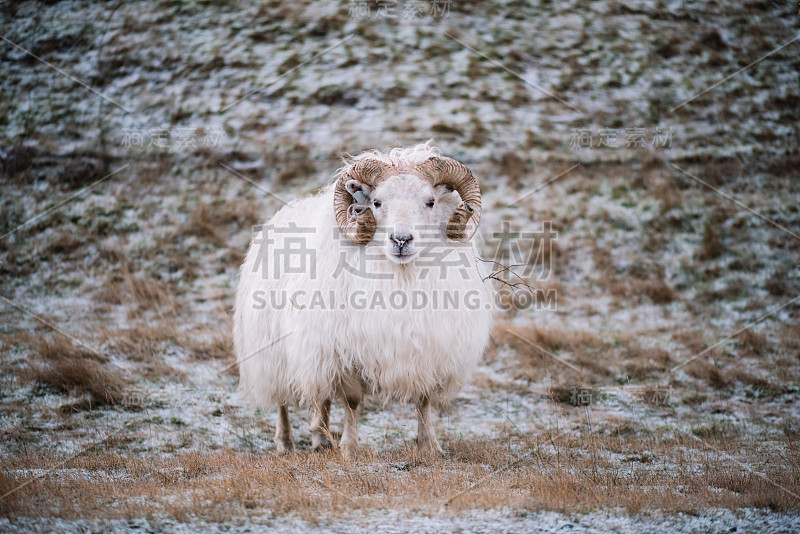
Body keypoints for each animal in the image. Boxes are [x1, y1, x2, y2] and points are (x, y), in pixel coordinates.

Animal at [233, 141, 494, 456]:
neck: (401, 278)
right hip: (275, 350)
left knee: (322, 398)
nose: (401, 240)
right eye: (376, 203)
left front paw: (429, 446)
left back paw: (321, 439)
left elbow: (424, 401)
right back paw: (285, 442)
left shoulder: (427, 350)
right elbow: (352, 402)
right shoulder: (345, 352)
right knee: (283, 399)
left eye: (431, 201)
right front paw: (350, 448)